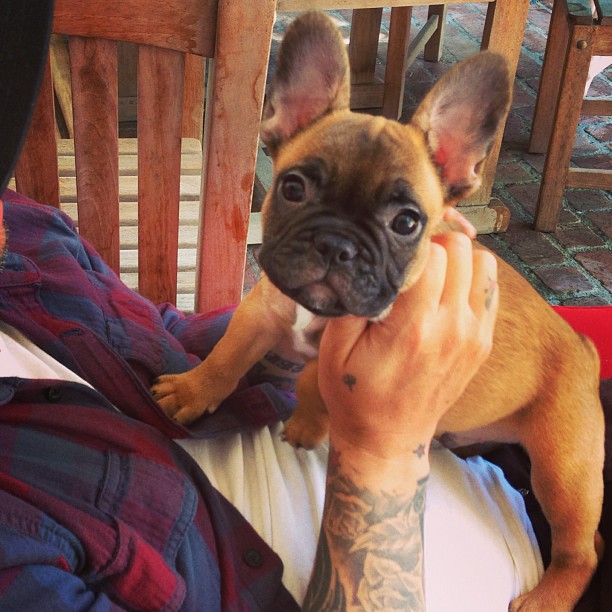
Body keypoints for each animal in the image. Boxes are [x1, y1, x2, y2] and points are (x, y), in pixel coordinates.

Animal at [152, 11, 604, 610]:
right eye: (292, 187)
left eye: (407, 222)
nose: (336, 244)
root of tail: (585, 348)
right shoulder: (264, 309)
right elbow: (228, 356)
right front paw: (191, 390)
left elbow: (315, 380)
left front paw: (306, 422)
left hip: (563, 464)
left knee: (583, 548)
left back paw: (547, 597)